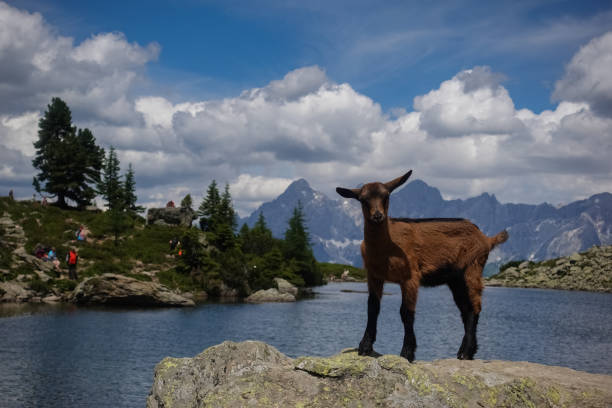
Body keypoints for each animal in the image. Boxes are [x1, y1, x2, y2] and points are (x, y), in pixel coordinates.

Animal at [338, 171, 510, 362]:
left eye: (386, 195)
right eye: (362, 199)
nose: (377, 216)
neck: (387, 247)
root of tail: (487, 239)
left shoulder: (411, 276)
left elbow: (406, 313)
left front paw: (407, 352)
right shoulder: (374, 276)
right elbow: (373, 308)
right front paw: (365, 346)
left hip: (473, 267)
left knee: (475, 306)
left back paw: (466, 352)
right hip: (455, 279)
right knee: (465, 310)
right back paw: (465, 352)